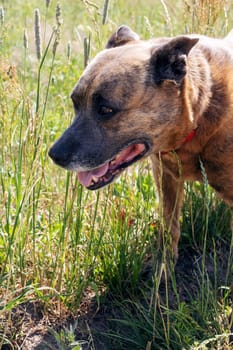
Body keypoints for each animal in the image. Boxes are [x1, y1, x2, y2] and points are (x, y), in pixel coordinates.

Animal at [48, 24, 233, 258]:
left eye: (106, 110)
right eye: (75, 102)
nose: (54, 155)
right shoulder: (166, 178)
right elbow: (169, 231)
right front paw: (163, 268)